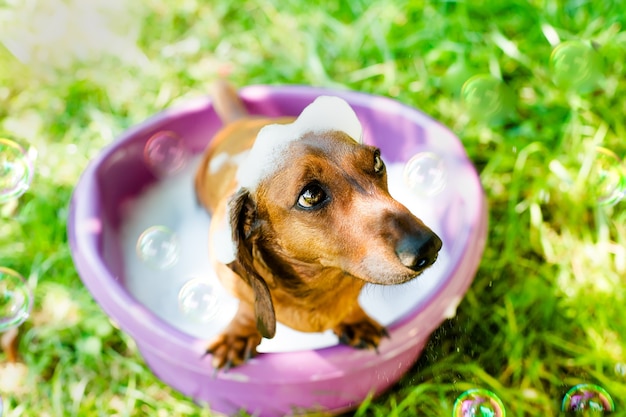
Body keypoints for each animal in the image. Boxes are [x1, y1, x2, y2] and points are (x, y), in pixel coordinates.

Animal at [193, 80, 442, 368]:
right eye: (310, 195)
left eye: (377, 160)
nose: (428, 247)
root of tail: (240, 121)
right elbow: (246, 306)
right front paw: (238, 335)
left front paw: (354, 319)